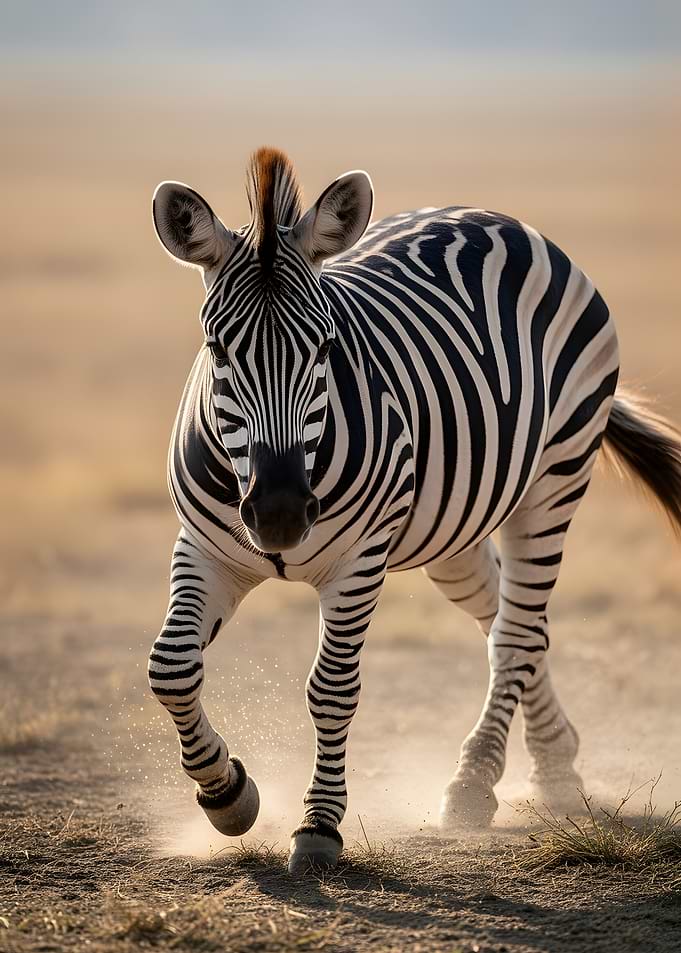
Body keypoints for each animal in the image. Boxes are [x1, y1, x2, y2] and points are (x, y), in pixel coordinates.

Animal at [148, 147, 681, 874]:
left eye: (325, 347)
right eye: (217, 350)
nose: (281, 515)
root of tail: (495, 217)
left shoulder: (358, 561)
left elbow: (332, 688)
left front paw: (318, 825)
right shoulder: (204, 548)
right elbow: (171, 668)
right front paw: (228, 794)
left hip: (554, 476)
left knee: (516, 633)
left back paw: (473, 785)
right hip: (454, 524)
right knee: (508, 618)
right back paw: (556, 765)